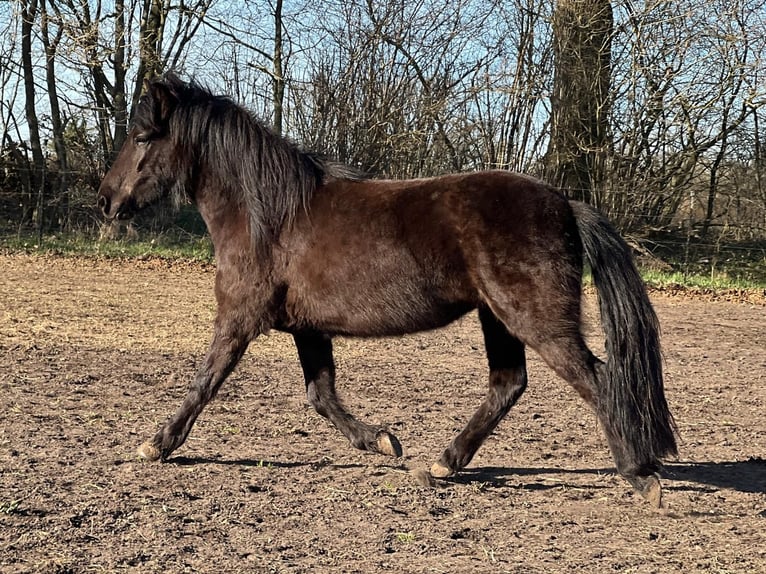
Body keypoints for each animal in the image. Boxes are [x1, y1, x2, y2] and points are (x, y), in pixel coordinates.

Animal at [97, 74, 677, 507]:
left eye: (144, 137)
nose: (106, 201)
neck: (269, 216)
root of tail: (564, 204)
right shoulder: (308, 329)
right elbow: (321, 395)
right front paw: (380, 440)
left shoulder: (239, 318)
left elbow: (205, 382)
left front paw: (157, 444)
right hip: (498, 317)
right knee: (509, 384)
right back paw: (443, 464)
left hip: (536, 318)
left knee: (598, 380)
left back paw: (639, 474)